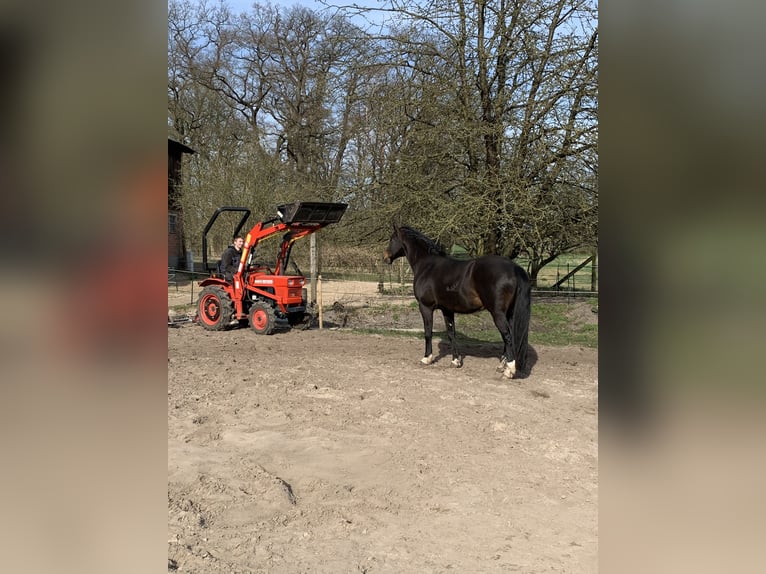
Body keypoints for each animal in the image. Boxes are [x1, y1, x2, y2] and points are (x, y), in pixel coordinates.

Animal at [384, 224, 536, 378]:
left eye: (392, 239)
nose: (385, 257)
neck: (427, 265)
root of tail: (515, 268)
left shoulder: (425, 307)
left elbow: (428, 332)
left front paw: (427, 358)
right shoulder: (447, 310)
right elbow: (452, 334)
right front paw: (455, 361)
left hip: (498, 314)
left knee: (508, 337)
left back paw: (509, 370)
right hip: (509, 313)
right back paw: (501, 366)